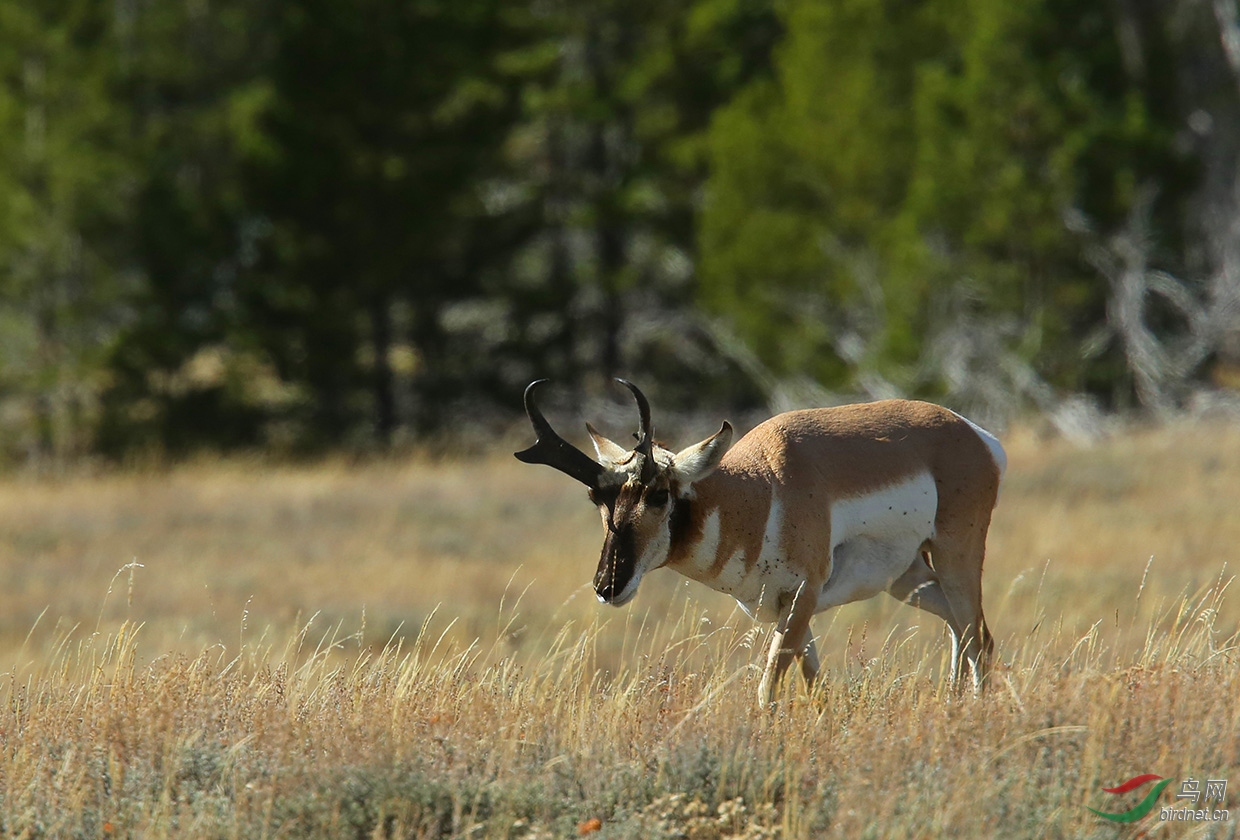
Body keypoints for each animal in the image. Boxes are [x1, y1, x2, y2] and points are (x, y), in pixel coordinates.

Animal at [513, 379, 1006, 699]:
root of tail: (974, 434)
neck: (763, 486)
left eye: (657, 494)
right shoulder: (778, 608)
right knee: (963, 632)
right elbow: (813, 684)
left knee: (978, 636)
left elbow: (770, 684)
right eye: (597, 496)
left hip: (955, 556)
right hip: (909, 579)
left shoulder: (803, 596)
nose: (607, 586)